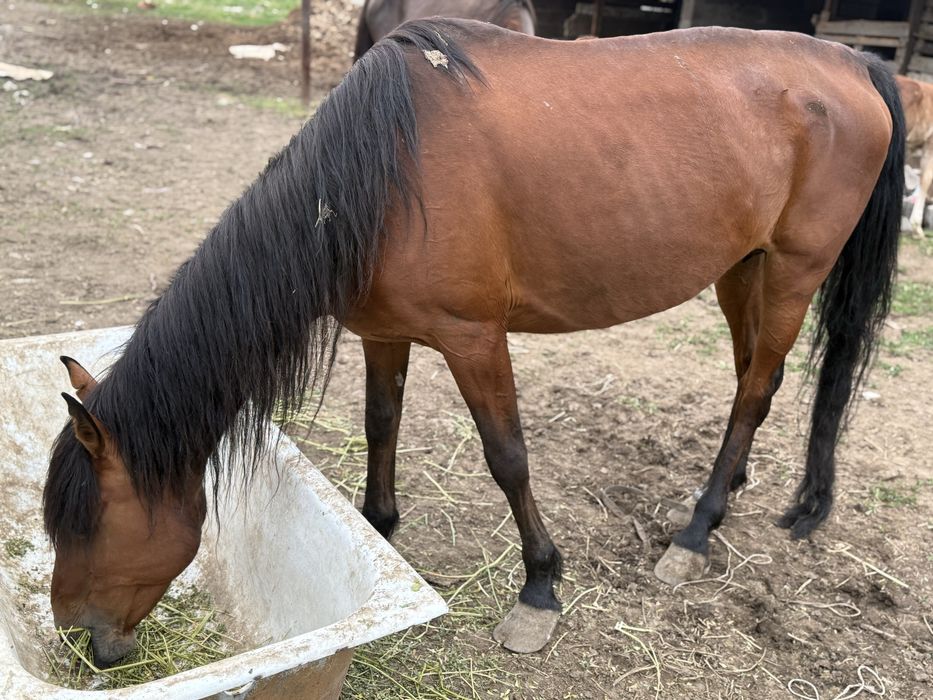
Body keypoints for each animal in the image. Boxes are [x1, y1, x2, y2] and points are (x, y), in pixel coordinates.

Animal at [44, 19, 904, 665]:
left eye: (87, 525)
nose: (83, 643)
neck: (379, 176)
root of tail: (854, 62)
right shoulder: (384, 335)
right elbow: (380, 427)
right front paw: (379, 535)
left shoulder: (473, 339)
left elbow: (507, 457)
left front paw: (540, 588)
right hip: (740, 268)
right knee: (755, 378)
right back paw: (728, 495)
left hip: (793, 270)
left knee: (757, 386)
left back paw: (693, 532)